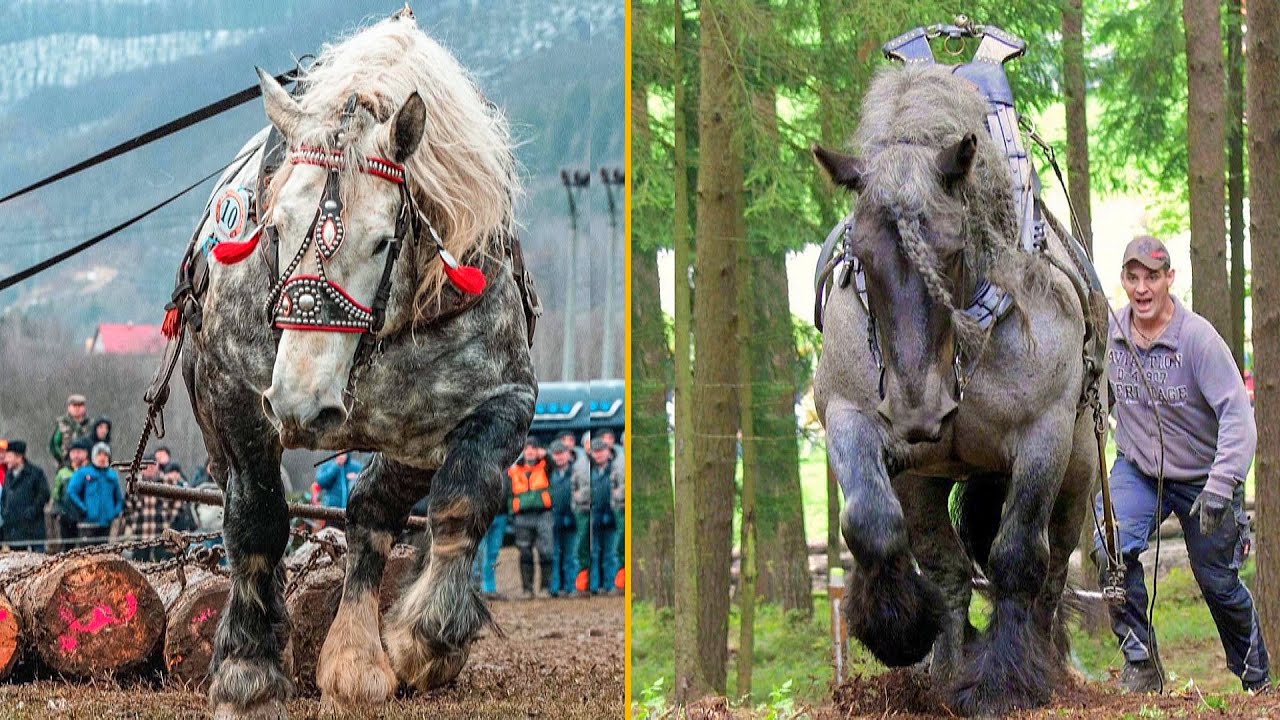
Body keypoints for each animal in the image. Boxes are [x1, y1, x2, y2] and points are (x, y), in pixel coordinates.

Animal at [173, 10, 537, 717]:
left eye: (382, 241)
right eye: (276, 225)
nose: (301, 404)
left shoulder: (505, 397)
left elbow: (464, 497)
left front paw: (427, 640)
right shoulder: (236, 397)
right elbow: (256, 521)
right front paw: (248, 670)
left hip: (410, 440)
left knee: (372, 511)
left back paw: (355, 659)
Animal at [811, 63, 1106, 715]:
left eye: (950, 248)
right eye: (861, 253)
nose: (918, 412)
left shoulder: (1044, 434)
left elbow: (1018, 556)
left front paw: (1002, 681)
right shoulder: (850, 414)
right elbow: (872, 521)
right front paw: (898, 630)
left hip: (1077, 468)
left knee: (1052, 566)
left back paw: (1045, 662)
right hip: (927, 476)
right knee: (945, 565)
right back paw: (944, 667)